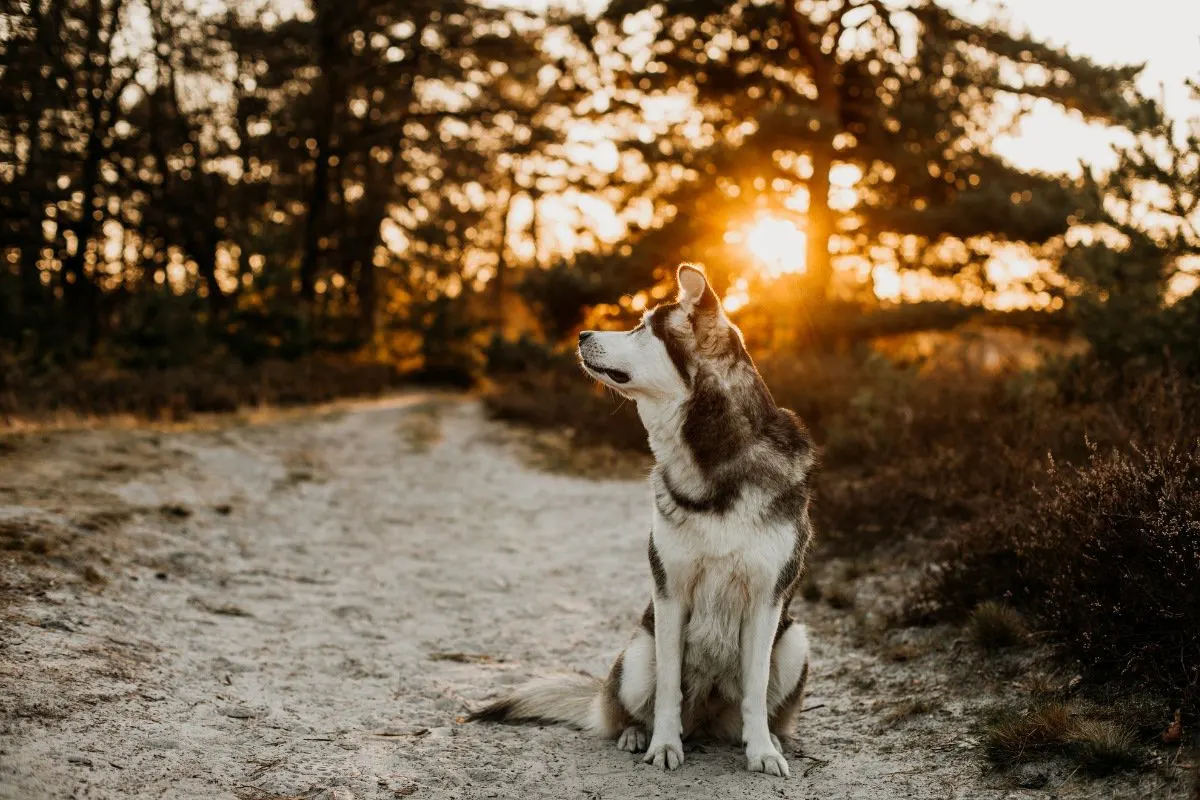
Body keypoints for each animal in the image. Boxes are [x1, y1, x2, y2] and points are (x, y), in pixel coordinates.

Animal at [470, 262, 816, 777]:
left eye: (642, 329)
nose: (581, 334)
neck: (714, 460)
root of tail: (706, 718)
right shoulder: (670, 593)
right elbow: (669, 686)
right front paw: (664, 745)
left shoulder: (767, 599)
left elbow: (754, 690)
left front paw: (761, 751)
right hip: (636, 655)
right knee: (628, 708)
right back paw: (636, 733)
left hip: (795, 642)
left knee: (757, 706)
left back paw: (772, 736)